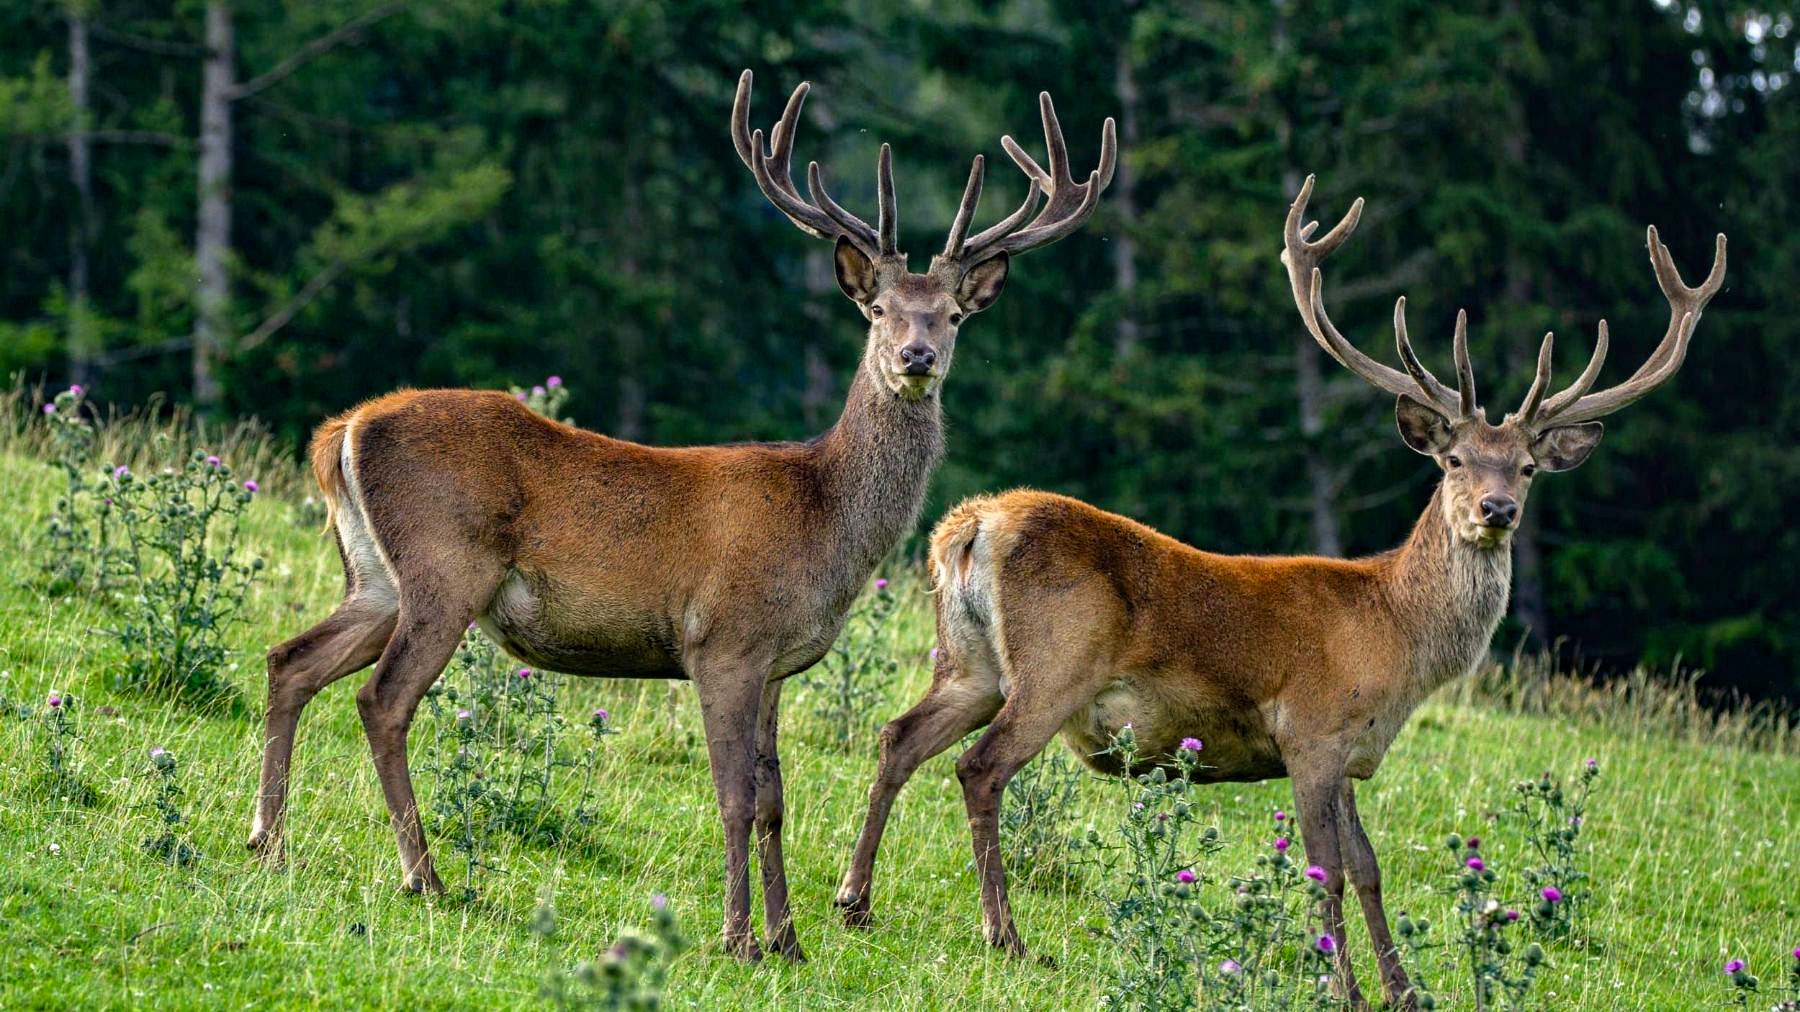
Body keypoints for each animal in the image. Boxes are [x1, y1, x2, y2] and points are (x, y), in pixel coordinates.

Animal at [245, 69, 1114, 963]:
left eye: (953, 314)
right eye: (878, 310)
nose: (917, 357)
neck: (825, 522)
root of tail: (342, 430)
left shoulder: (775, 664)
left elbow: (774, 800)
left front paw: (788, 941)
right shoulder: (722, 640)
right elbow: (734, 795)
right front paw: (737, 937)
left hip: (376, 577)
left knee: (290, 660)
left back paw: (269, 839)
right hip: (444, 569)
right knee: (381, 701)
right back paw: (423, 875)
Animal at [835, 174, 1724, 1007]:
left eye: (1531, 468)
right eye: (1455, 461)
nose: (1496, 511)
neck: (1396, 633)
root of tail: (968, 526)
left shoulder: (1355, 751)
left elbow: (1367, 866)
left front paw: (1405, 990)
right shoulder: (1312, 730)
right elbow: (1323, 866)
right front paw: (1345, 987)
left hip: (970, 662)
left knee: (898, 735)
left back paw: (855, 901)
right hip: (1056, 665)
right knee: (980, 768)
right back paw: (1005, 936)